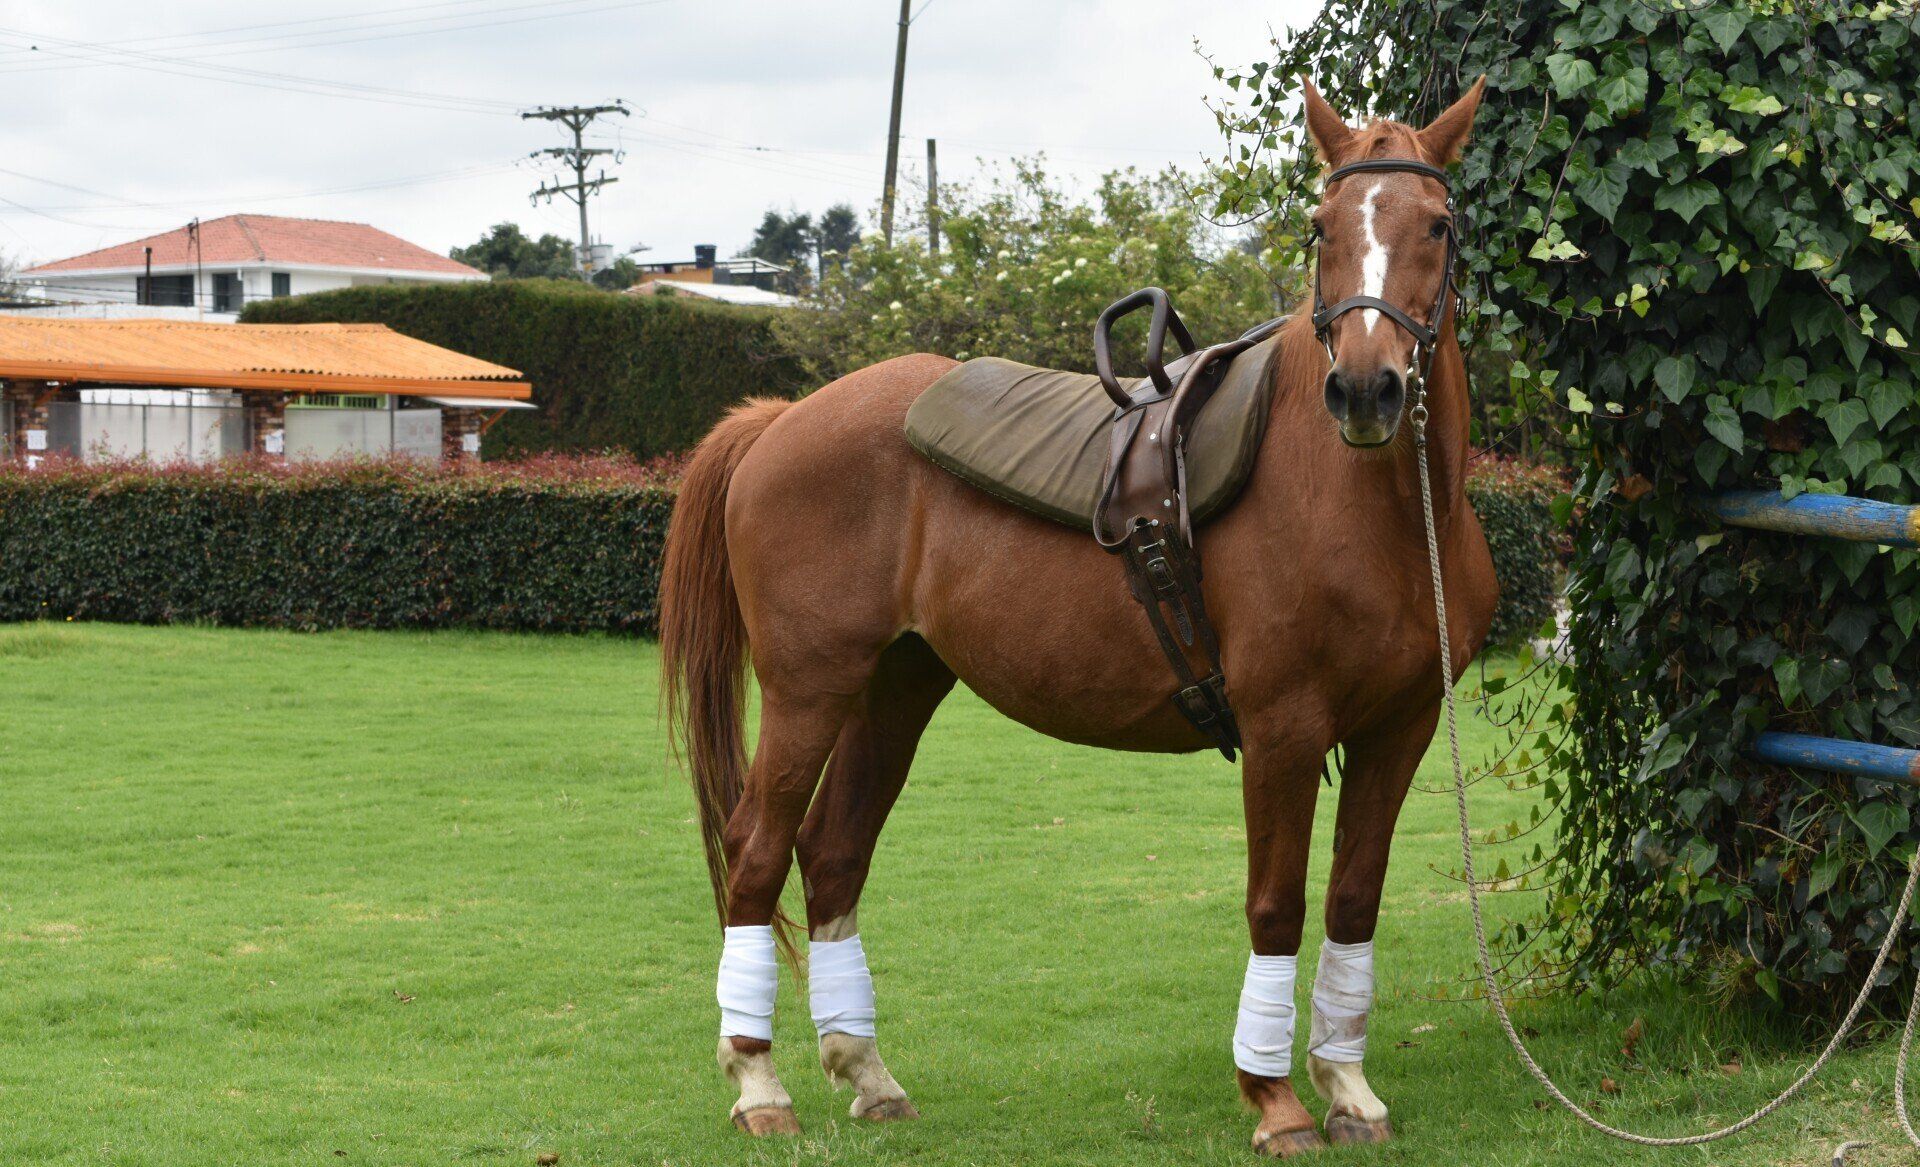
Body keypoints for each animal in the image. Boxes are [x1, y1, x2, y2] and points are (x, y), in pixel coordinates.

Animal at [660, 77, 1497, 1157]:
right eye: (1321, 227)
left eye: (1436, 223)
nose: (1364, 388)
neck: (1374, 508)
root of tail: (778, 421)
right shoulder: (1284, 728)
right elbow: (1276, 905)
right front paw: (1274, 1100)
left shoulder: (1402, 725)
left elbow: (1354, 898)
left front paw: (1347, 1087)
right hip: (810, 690)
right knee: (757, 852)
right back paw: (760, 1083)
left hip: (895, 688)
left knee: (833, 855)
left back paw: (868, 1072)